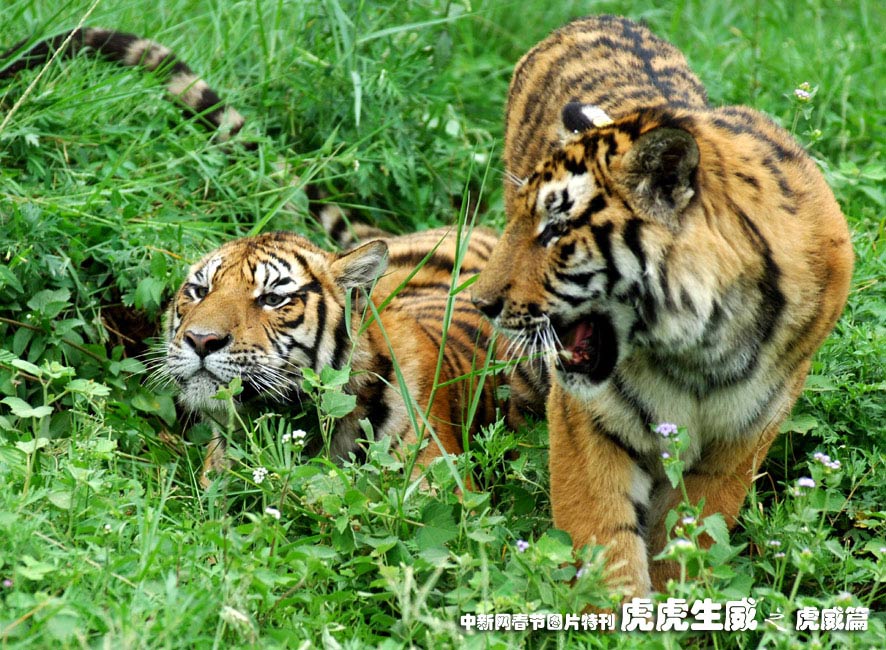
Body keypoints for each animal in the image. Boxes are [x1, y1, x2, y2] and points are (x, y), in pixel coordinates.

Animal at [471, 15, 853, 598]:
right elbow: (604, 543)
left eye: (555, 230)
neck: (700, 346)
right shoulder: (588, 421)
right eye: (521, 220)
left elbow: (690, 538)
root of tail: (597, 18)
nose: (480, 302)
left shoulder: (739, 438)